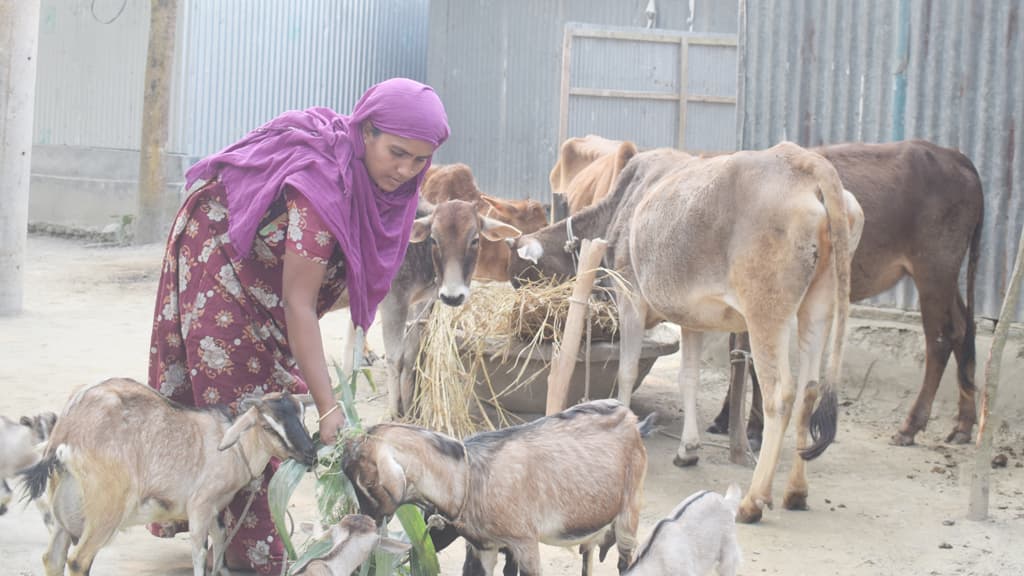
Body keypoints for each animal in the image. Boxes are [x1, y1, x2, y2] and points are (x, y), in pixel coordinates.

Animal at [19, 377, 315, 573]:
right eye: (268, 426)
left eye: (301, 416)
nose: (311, 455)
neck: (232, 449)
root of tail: (66, 431)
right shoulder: (199, 506)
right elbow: (199, 551)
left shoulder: (214, 510)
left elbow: (220, 541)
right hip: (107, 510)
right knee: (79, 560)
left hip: (64, 509)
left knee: (53, 558)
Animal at [342, 397, 647, 573]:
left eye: (365, 480)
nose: (365, 520)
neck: (470, 478)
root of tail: (631, 417)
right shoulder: (484, 547)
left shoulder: (524, 544)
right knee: (588, 556)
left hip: (629, 510)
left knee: (625, 560)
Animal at [509, 142, 864, 520]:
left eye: (521, 278)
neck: (622, 205)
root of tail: (802, 160)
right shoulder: (692, 318)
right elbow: (688, 378)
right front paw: (688, 450)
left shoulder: (630, 296)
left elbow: (626, 371)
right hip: (819, 304)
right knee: (809, 391)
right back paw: (796, 491)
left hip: (766, 313)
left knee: (781, 395)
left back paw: (753, 501)